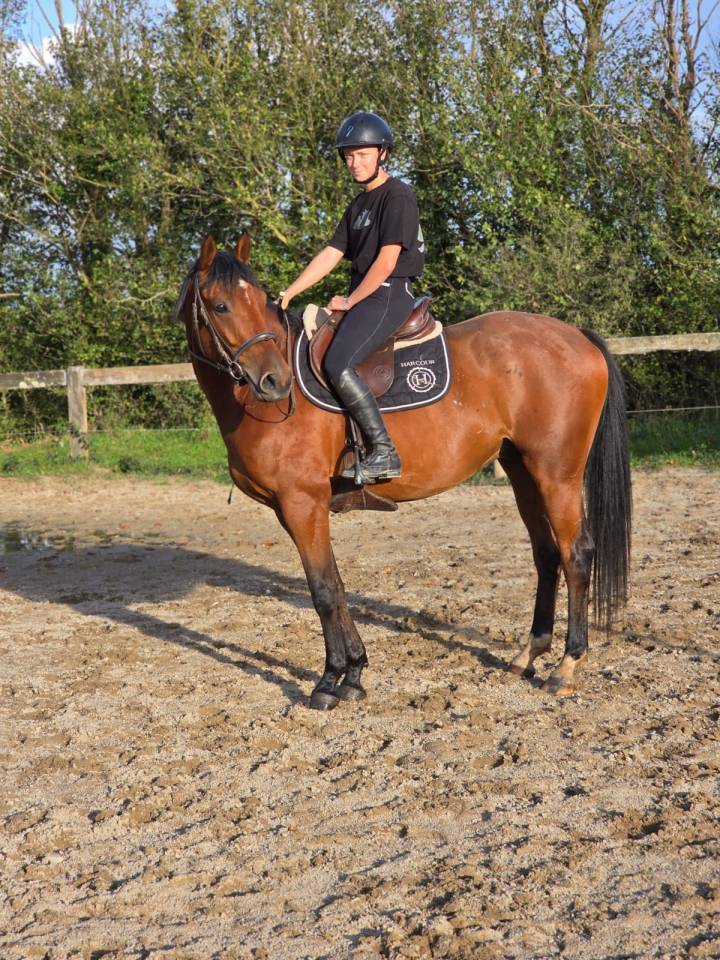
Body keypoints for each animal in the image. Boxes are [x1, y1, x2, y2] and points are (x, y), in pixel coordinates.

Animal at [176, 233, 631, 710]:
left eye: (262, 303)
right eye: (221, 306)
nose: (275, 382)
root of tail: (575, 335)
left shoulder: (302, 503)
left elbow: (323, 591)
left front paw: (329, 681)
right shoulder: (295, 509)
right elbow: (337, 585)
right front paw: (354, 674)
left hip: (557, 474)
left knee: (576, 554)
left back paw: (567, 665)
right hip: (522, 470)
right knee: (546, 554)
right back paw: (529, 654)